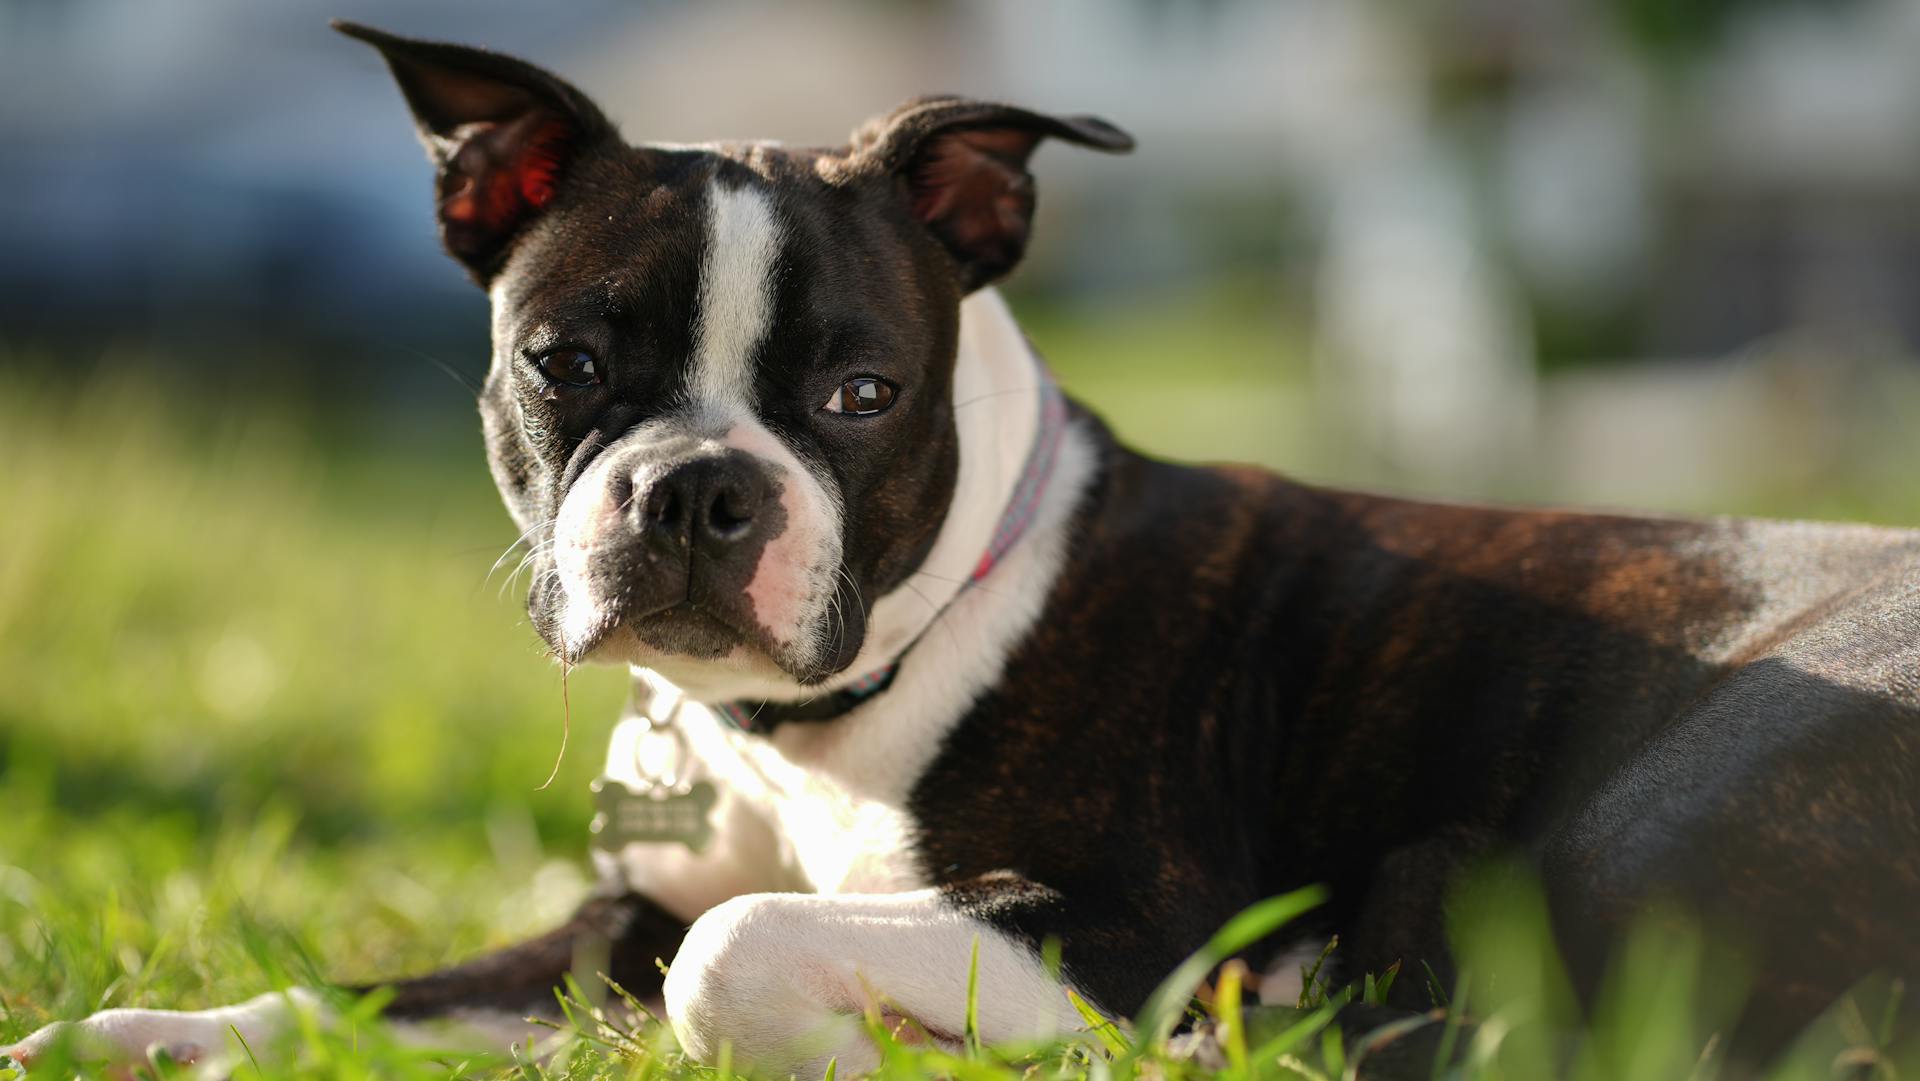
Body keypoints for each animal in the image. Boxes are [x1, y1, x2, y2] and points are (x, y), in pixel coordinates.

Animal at [15, 21, 1920, 1075]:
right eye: (566, 364)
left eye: (861, 394)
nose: (700, 488)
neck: (812, 727)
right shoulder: (609, 916)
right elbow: (361, 997)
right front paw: (143, 1039)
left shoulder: (1117, 919)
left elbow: (730, 958)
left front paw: (881, 1049)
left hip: (1644, 808)